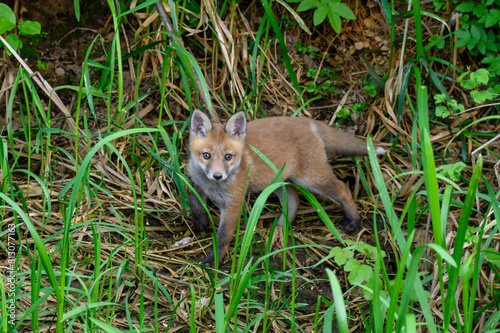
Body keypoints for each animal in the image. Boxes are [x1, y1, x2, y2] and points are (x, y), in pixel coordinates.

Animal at [188, 110, 386, 266]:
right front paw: (201, 221)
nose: (218, 176)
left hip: (312, 179)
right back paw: (280, 227)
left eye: (228, 157)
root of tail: (308, 122)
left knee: (343, 188)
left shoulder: (233, 204)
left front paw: (213, 260)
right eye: (206, 155)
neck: (212, 187)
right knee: (294, 200)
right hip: (277, 181)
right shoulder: (197, 181)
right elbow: (194, 200)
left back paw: (353, 220)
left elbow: (222, 237)